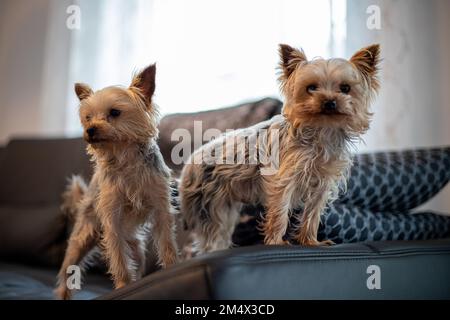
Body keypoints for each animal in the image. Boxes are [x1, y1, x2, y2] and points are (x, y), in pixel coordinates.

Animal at [54, 63, 178, 298]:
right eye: (88, 117)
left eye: (114, 113)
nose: (90, 130)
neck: (124, 155)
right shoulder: (113, 219)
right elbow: (119, 258)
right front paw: (122, 286)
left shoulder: (160, 208)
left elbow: (167, 242)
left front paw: (172, 267)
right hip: (81, 239)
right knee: (67, 274)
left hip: (137, 247)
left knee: (137, 261)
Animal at [179, 43, 380, 252]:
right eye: (311, 88)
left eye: (345, 88)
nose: (329, 102)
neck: (322, 130)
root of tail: (188, 165)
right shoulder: (284, 180)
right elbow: (280, 213)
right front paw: (276, 241)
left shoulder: (322, 183)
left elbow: (313, 214)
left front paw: (311, 241)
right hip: (206, 205)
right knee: (208, 241)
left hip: (224, 207)